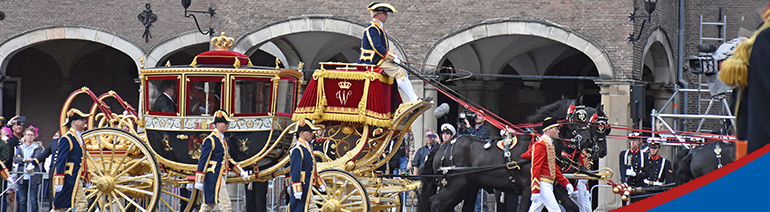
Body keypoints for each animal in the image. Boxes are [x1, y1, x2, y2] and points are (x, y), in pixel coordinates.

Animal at [416, 100, 608, 212]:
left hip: (467, 187)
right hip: (454, 186)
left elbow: (570, 205)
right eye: (579, 118)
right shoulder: (528, 188)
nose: (589, 142)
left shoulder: (550, 185)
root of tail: (444, 145)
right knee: (435, 203)